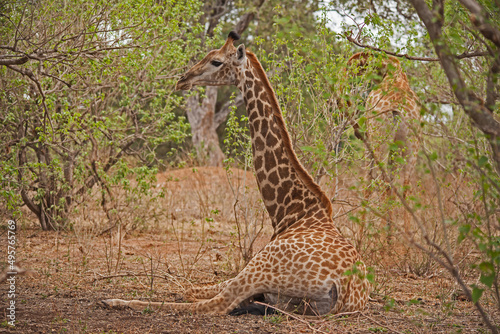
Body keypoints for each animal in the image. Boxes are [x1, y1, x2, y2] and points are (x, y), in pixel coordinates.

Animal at [100, 31, 372, 316]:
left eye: (216, 61)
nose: (183, 79)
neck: (292, 212)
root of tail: (341, 290)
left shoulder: (250, 267)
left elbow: (191, 290)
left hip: (262, 267)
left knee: (215, 304)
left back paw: (114, 301)